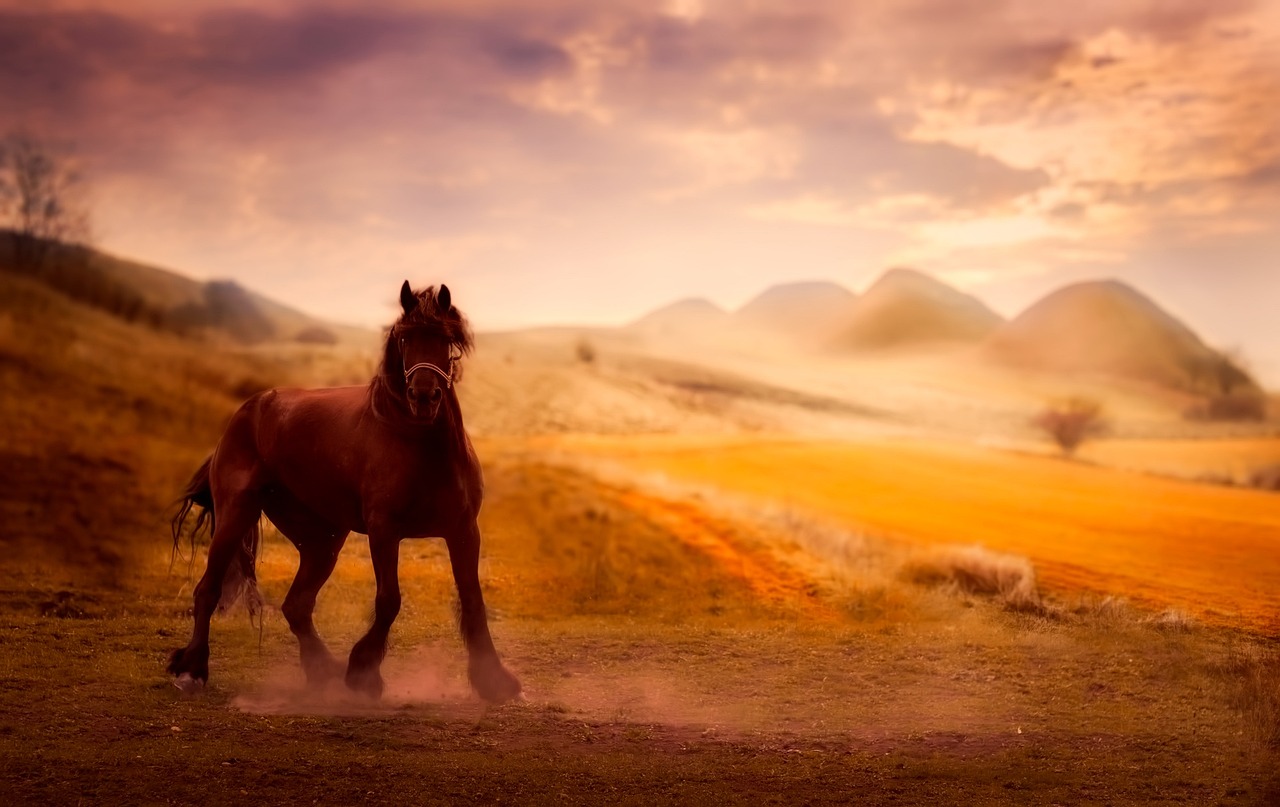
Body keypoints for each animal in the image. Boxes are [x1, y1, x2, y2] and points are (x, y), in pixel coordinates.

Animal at [168, 281, 519, 707]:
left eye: (447, 340)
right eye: (404, 338)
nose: (423, 396)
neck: (416, 442)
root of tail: (248, 410)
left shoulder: (464, 531)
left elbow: (472, 599)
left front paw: (494, 680)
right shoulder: (385, 531)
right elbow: (389, 600)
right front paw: (364, 673)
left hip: (323, 540)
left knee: (297, 605)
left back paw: (324, 672)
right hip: (237, 516)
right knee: (208, 590)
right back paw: (192, 670)